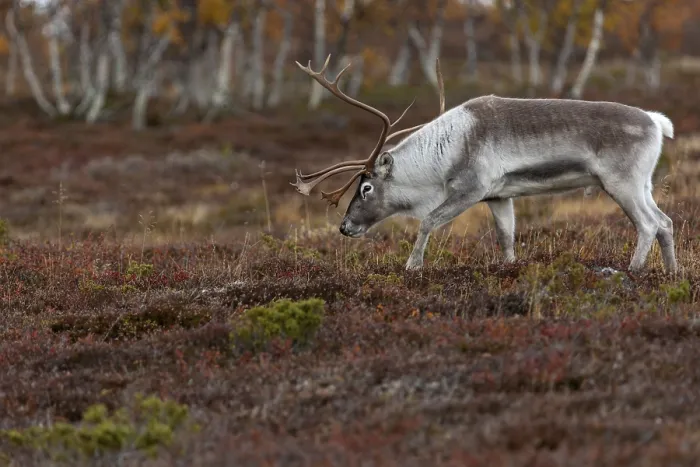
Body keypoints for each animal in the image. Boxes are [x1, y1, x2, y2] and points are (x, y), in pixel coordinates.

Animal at [291, 55, 677, 274]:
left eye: (367, 188)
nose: (344, 227)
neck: (442, 152)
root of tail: (656, 122)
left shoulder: (470, 189)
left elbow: (428, 221)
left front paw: (412, 266)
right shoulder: (498, 196)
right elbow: (506, 237)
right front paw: (509, 269)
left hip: (621, 183)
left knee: (648, 224)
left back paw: (634, 271)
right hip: (643, 184)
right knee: (666, 221)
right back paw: (670, 273)